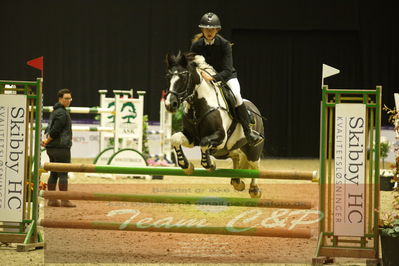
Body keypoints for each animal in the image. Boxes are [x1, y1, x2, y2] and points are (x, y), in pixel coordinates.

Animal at [164, 52, 264, 197]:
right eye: (168, 77)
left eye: (183, 77)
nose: (169, 104)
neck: (199, 105)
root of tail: (254, 107)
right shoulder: (191, 138)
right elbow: (175, 138)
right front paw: (187, 166)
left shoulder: (220, 137)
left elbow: (205, 142)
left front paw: (210, 164)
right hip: (225, 151)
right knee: (236, 155)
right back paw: (237, 182)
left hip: (252, 148)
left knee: (255, 164)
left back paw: (254, 190)